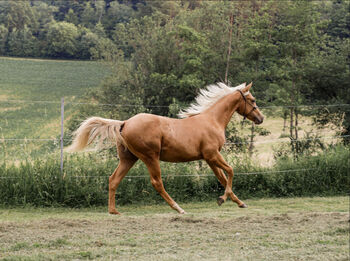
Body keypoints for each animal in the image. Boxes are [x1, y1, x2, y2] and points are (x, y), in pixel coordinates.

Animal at [67, 82, 264, 213]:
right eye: (253, 100)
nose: (261, 118)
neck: (212, 120)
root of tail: (124, 123)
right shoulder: (212, 155)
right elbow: (230, 171)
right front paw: (222, 199)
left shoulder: (209, 158)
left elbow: (222, 178)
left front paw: (239, 202)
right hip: (150, 157)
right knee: (157, 182)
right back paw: (178, 208)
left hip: (129, 159)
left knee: (113, 180)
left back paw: (113, 211)